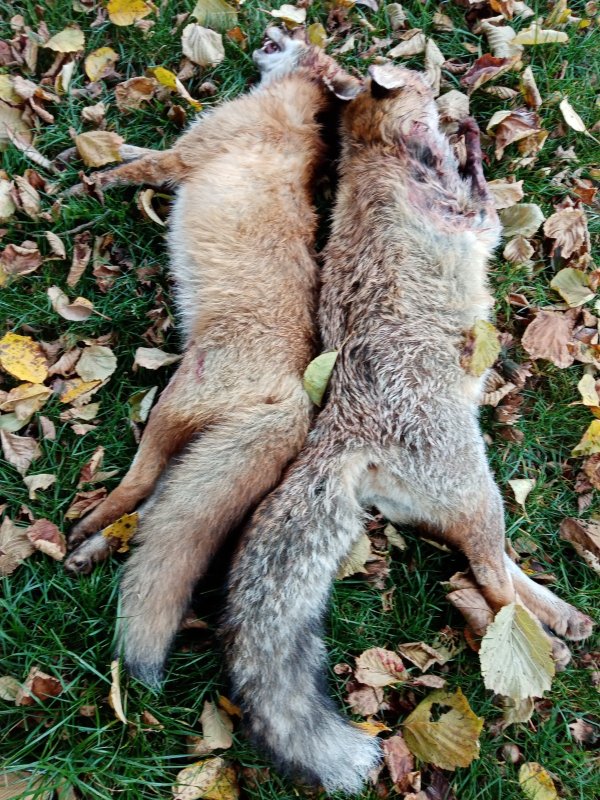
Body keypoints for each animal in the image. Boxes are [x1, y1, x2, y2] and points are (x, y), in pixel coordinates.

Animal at [64, 28, 361, 687]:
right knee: (153, 515)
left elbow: (126, 170)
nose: (277, 23)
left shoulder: (181, 162)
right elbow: (133, 148)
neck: (285, 112)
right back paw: (90, 551)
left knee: (135, 491)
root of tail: (298, 399)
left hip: (167, 413)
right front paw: (99, 146)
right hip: (189, 455)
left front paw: (78, 185)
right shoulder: (180, 153)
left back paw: (83, 527)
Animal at [222, 64, 595, 794]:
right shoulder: (474, 219)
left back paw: (563, 619)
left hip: (471, 502)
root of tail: (341, 424)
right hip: (480, 494)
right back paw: (548, 647)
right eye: (419, 80)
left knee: (497, 573)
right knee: (492, 583)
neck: (381, 157)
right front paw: (471, 138)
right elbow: (481, 185)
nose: (443, 75)